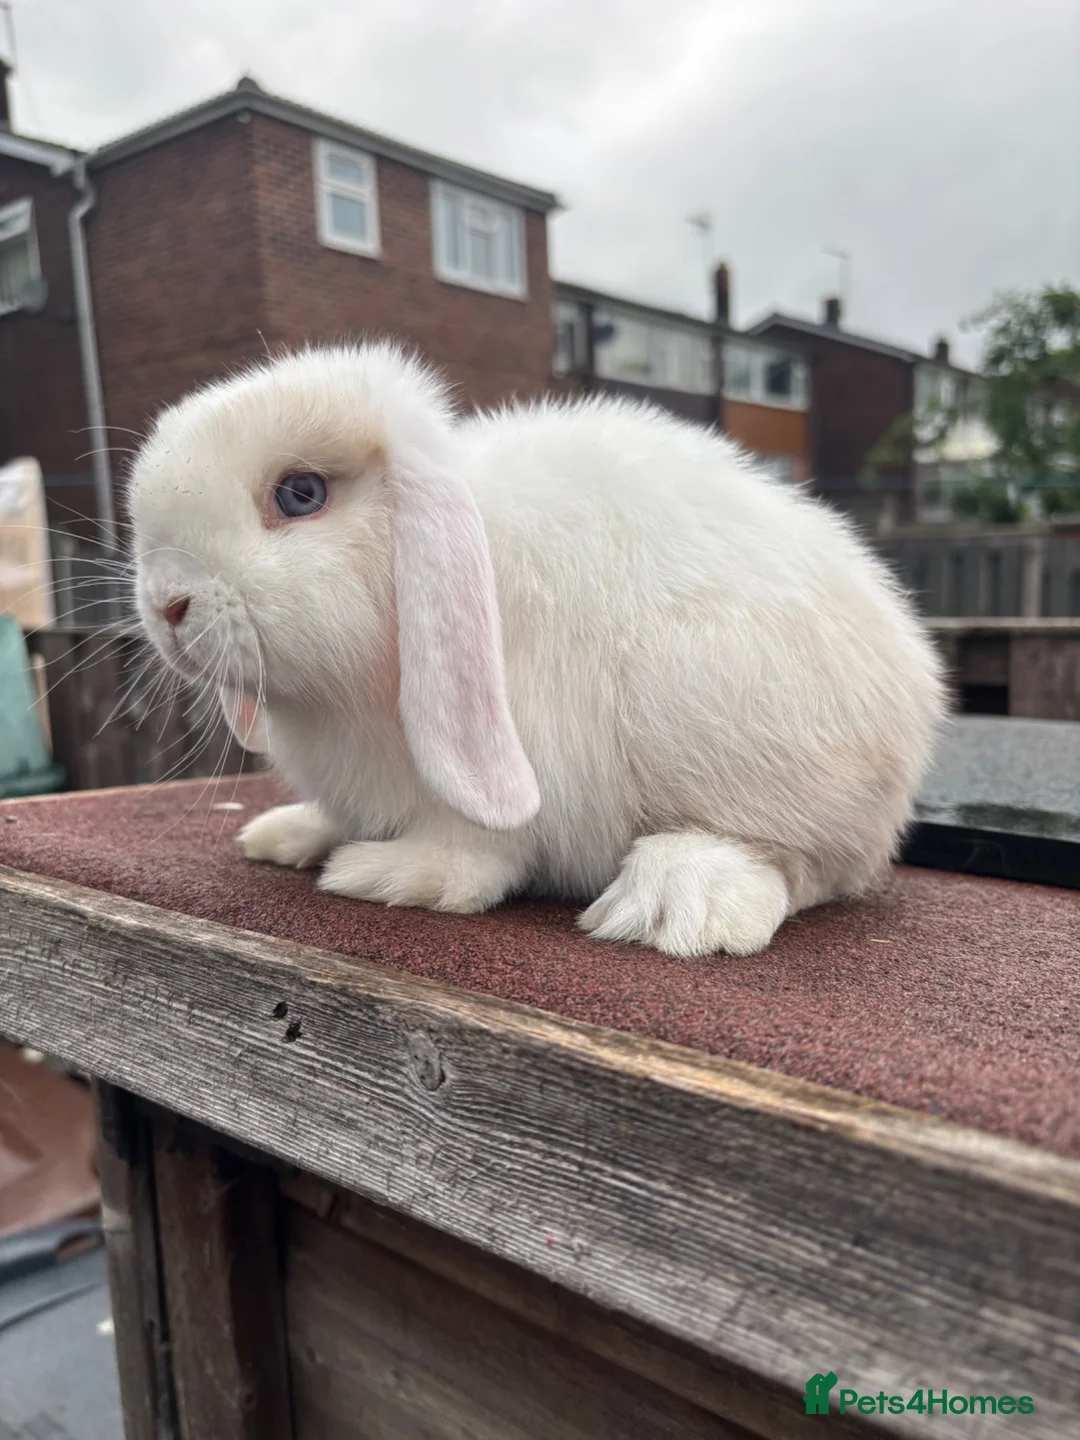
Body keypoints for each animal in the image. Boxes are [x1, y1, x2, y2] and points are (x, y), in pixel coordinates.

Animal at [129, 342, 946, 958]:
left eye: (299, 494)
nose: (168, 605)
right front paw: (295, 833)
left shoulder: (502, 775)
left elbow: (472, 858)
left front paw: (387, 873)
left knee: (795, 863)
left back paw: (675, 904)